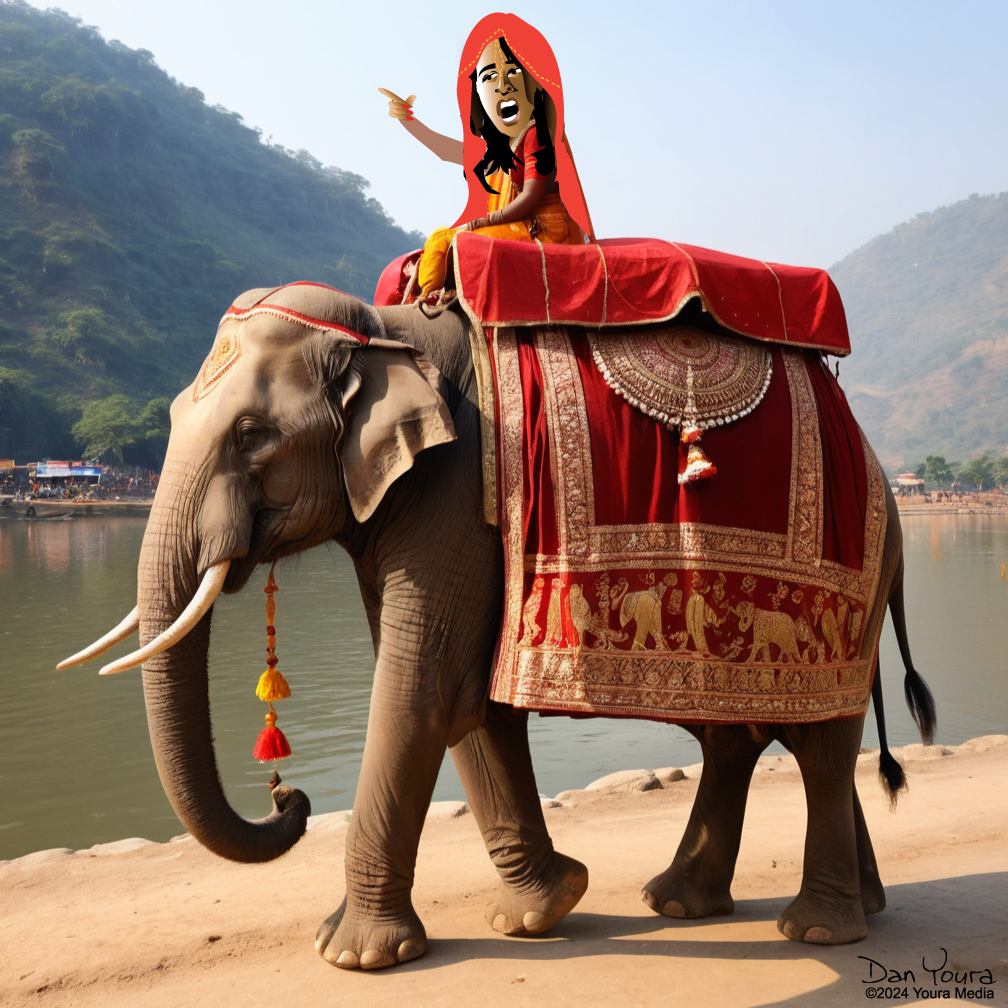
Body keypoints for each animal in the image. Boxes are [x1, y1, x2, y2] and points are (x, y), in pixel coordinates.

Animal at [60, 283, 935, 971]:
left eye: (251, 435)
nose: (288, 795)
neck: (383, 330)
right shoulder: (420, 508)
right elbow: (464, 699)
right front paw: (542, 912)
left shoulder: (456, 493)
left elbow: (419, 689)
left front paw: (352, 954)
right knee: (747, 736)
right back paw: (715, 904)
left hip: (850, 584)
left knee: (819, 739)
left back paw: (817, 930)